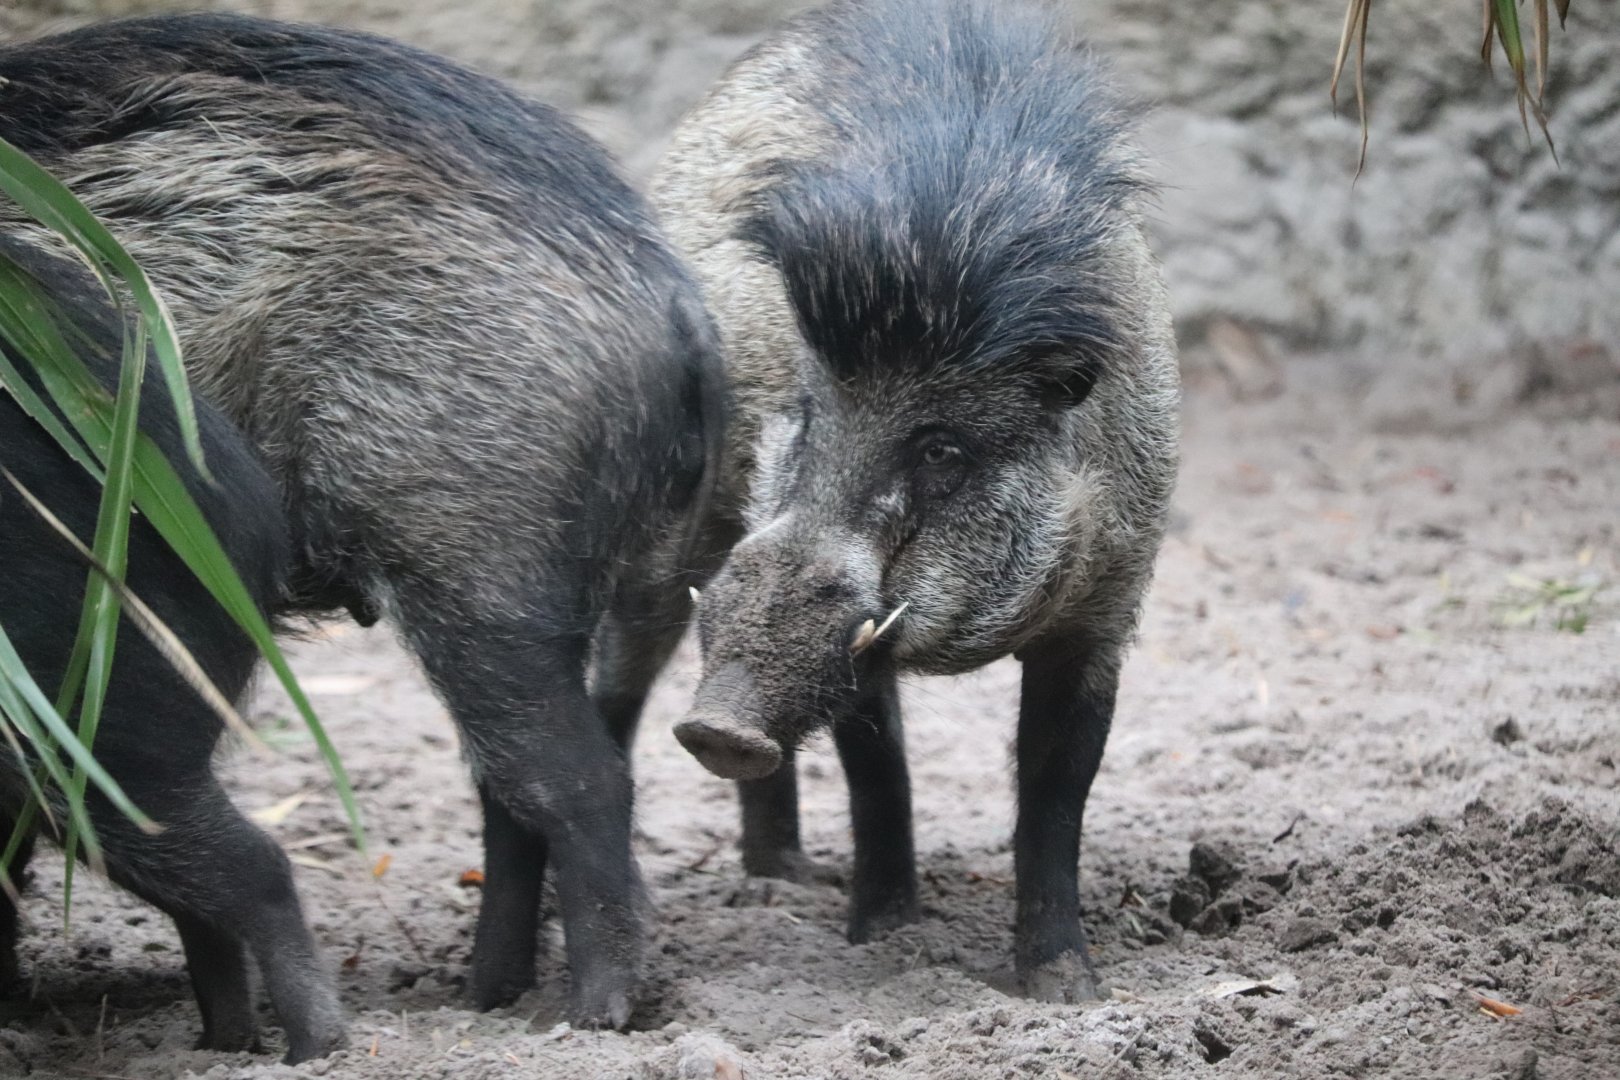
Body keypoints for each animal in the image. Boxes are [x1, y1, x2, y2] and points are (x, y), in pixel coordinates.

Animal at [652, 0, 1179, 1001]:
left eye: (941, 448)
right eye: (807, 414)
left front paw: (1065, 987)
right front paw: (884, 939)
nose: (717, 728)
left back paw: (789, 881)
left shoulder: (1108, 606)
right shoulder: (859, 644)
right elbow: (876, 772)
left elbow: (1057, 793)